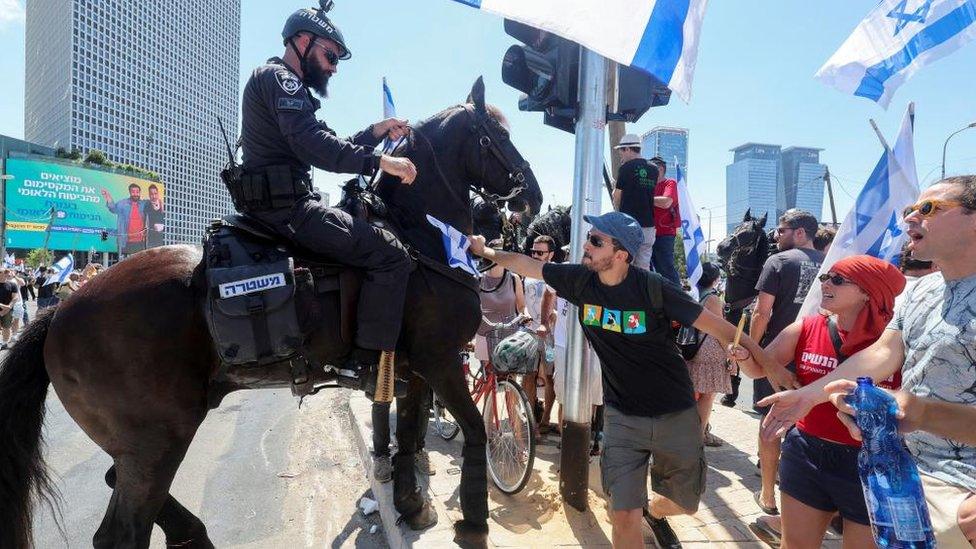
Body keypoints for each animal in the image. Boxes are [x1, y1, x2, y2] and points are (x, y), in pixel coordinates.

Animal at [0, 78, 540, 548]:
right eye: (496, 137)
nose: (529, 199)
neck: (418, 234)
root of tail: (59, 313)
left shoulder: (412, 366)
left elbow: (408, 434)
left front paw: (411, 504)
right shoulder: (439, 360)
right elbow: (474, 431)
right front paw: (473, 523)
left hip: (143, 440)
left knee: (118, 480)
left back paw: (193, 534)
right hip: (158, 439)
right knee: (122, 529)